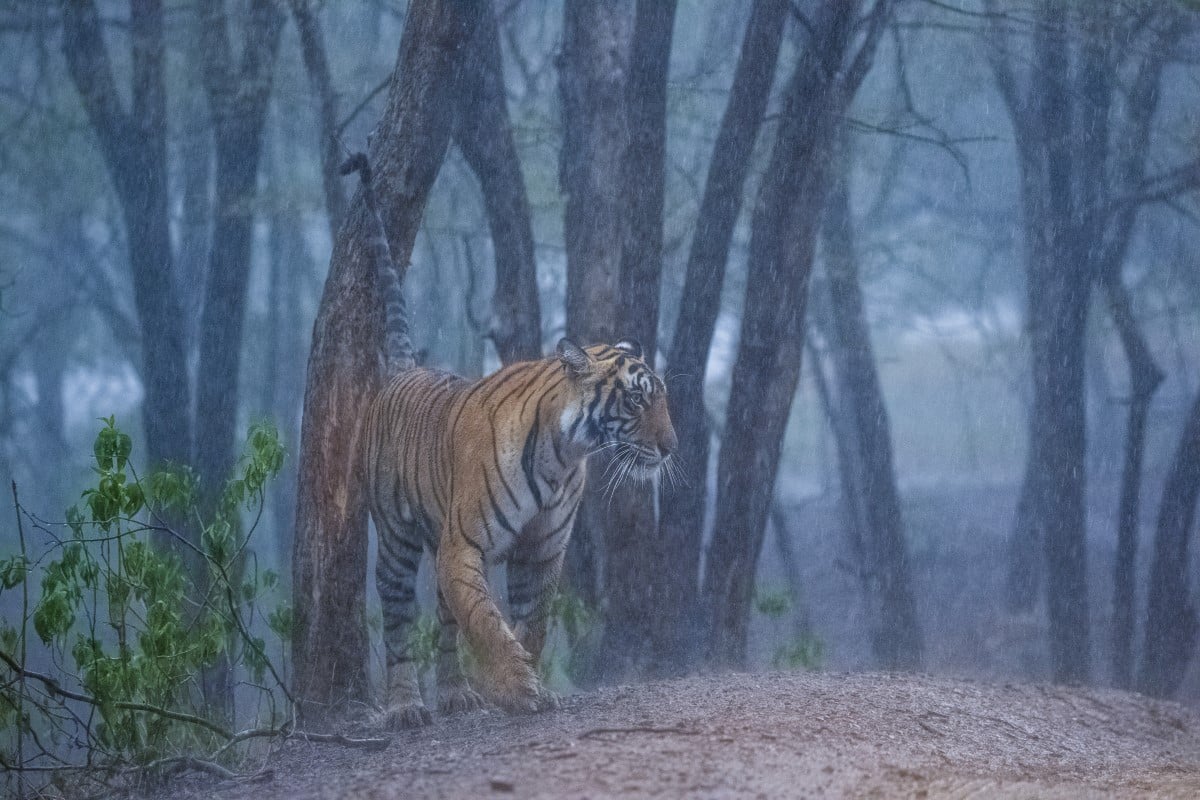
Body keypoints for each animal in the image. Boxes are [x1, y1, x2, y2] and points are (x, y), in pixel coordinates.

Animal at [360, 338, 681, 724]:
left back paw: (456, 694)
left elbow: (533, 621)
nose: (671, 447)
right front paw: (516, 689)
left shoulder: (541, 550)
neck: (563, 455)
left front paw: (534, 688)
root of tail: (405, 373)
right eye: (635, 399)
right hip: (397, 542)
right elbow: (483, 620)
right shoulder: (463, 545)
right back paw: (405, 707)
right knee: (398, 624)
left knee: (447, 622)